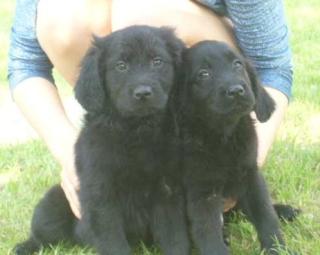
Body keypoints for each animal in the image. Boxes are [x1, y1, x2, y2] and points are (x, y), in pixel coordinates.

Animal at [14, 25, 190, 255]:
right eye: (121, 66)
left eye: (157, 61)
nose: (143, 93)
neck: (138, 131)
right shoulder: (100, 195)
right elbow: (113, 242)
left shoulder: (168, 191)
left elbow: (175, 238)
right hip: (52, 206)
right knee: (42, 235)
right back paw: (24, 246)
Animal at [178, 40, 296, 254]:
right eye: (203, 74)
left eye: (237, 65)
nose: (236, 90)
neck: (224, 137)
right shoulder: (202, 192)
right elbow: (208, 232)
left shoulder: (251, 177)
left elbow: (266, 215)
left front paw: (276, 248)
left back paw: (285, 210)